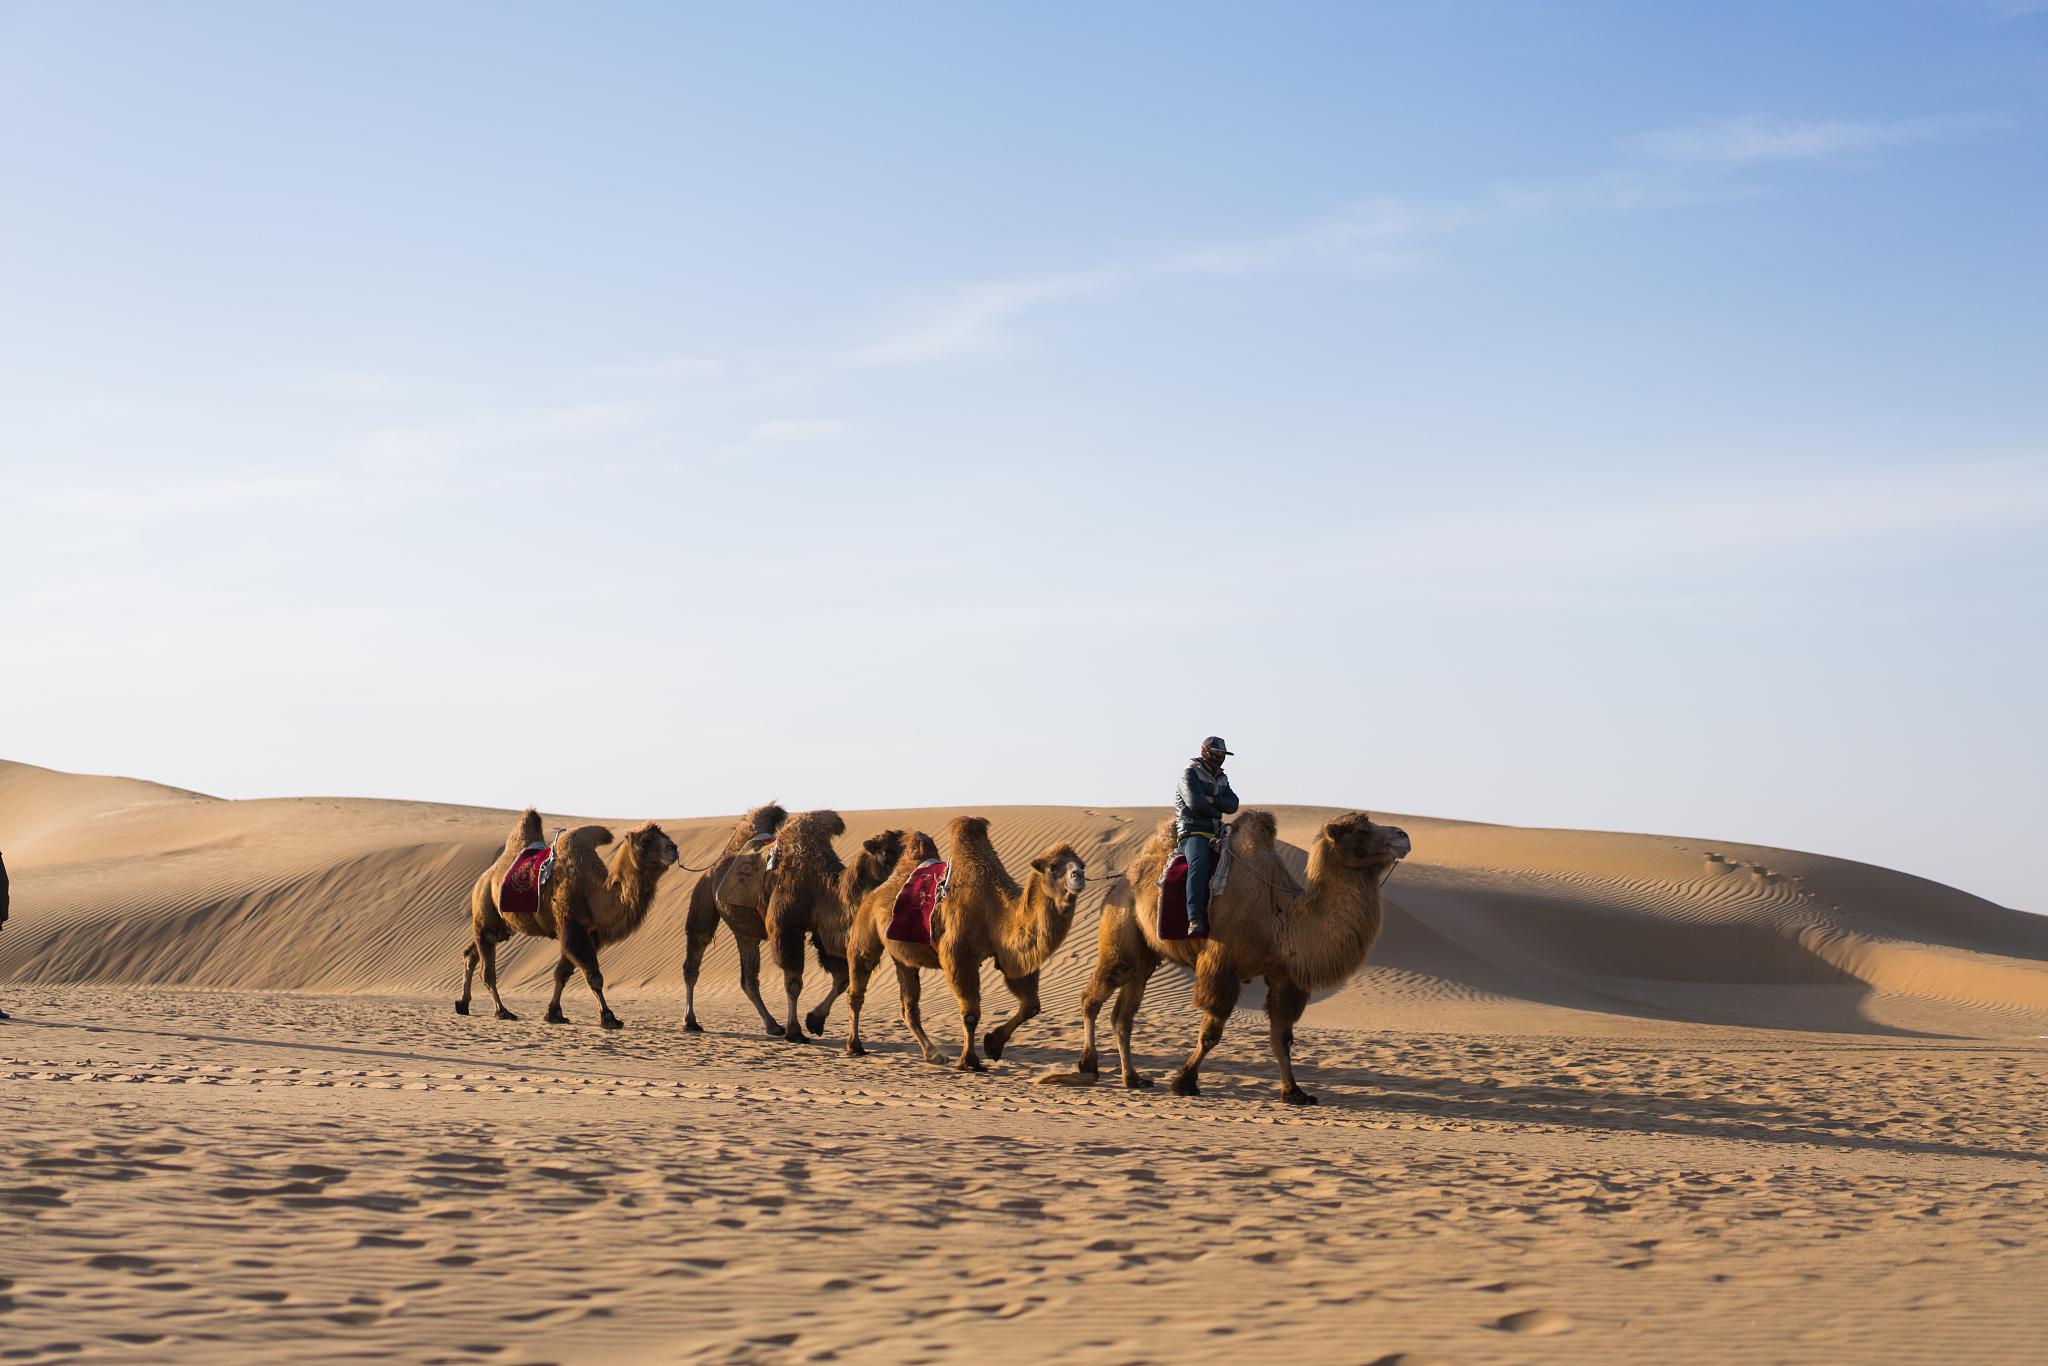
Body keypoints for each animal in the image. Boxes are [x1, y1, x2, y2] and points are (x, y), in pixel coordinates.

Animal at [454, 810, 679, 1023]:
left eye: (665, 836)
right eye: (646, 841)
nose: (673, 848)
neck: (593, 891)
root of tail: (483, 878)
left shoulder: (589, 933)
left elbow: (562, 974)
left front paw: (554, 1013)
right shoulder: (572, 926)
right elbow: (593, 976)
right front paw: (608, 1016)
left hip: (503, 928)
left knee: (471, 953)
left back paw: (463, 1004)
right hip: (486, 915)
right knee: (487, 970)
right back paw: (502, 1011)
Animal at [839, 819, 1089, 1073]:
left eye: (1082, 863)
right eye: (1053, 866)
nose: (1078, 875)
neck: (994, 908)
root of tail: (875, 893)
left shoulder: (1007, 956)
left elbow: (1031, 1006)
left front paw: (993, 1044)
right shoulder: (959, 956)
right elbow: (970, 1014)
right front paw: (970, 1061)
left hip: (903, 955)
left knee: (908, 1006)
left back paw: (932, 1054)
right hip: (864, 930)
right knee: (857, 987)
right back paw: (855, 1046)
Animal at [1040, 806, 1409, 1105]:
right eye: (1361, 832)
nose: (1403, 836)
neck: (1282, 915)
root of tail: (1119, 882)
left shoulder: (1283, 977)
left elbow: (1282, 1038)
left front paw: (1295, 1092)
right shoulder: (1222, 967)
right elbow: (1211, 1034)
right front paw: (1184, 1082)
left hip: (1146, 957)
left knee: (1123, 1015)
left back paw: (1133, 1078)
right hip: (1121, 933)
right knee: (1093, 996)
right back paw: (1088, 1065)